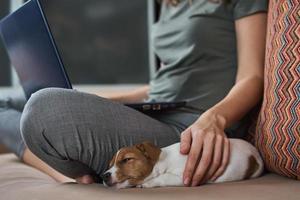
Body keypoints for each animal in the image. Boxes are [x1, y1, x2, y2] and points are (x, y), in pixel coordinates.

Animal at [102, 139, 264, 189]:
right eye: (109, 164)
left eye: (126, 160)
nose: (104, 176)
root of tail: (255, 154)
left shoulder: (187, 176)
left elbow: (165, 177)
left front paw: (146, 183)